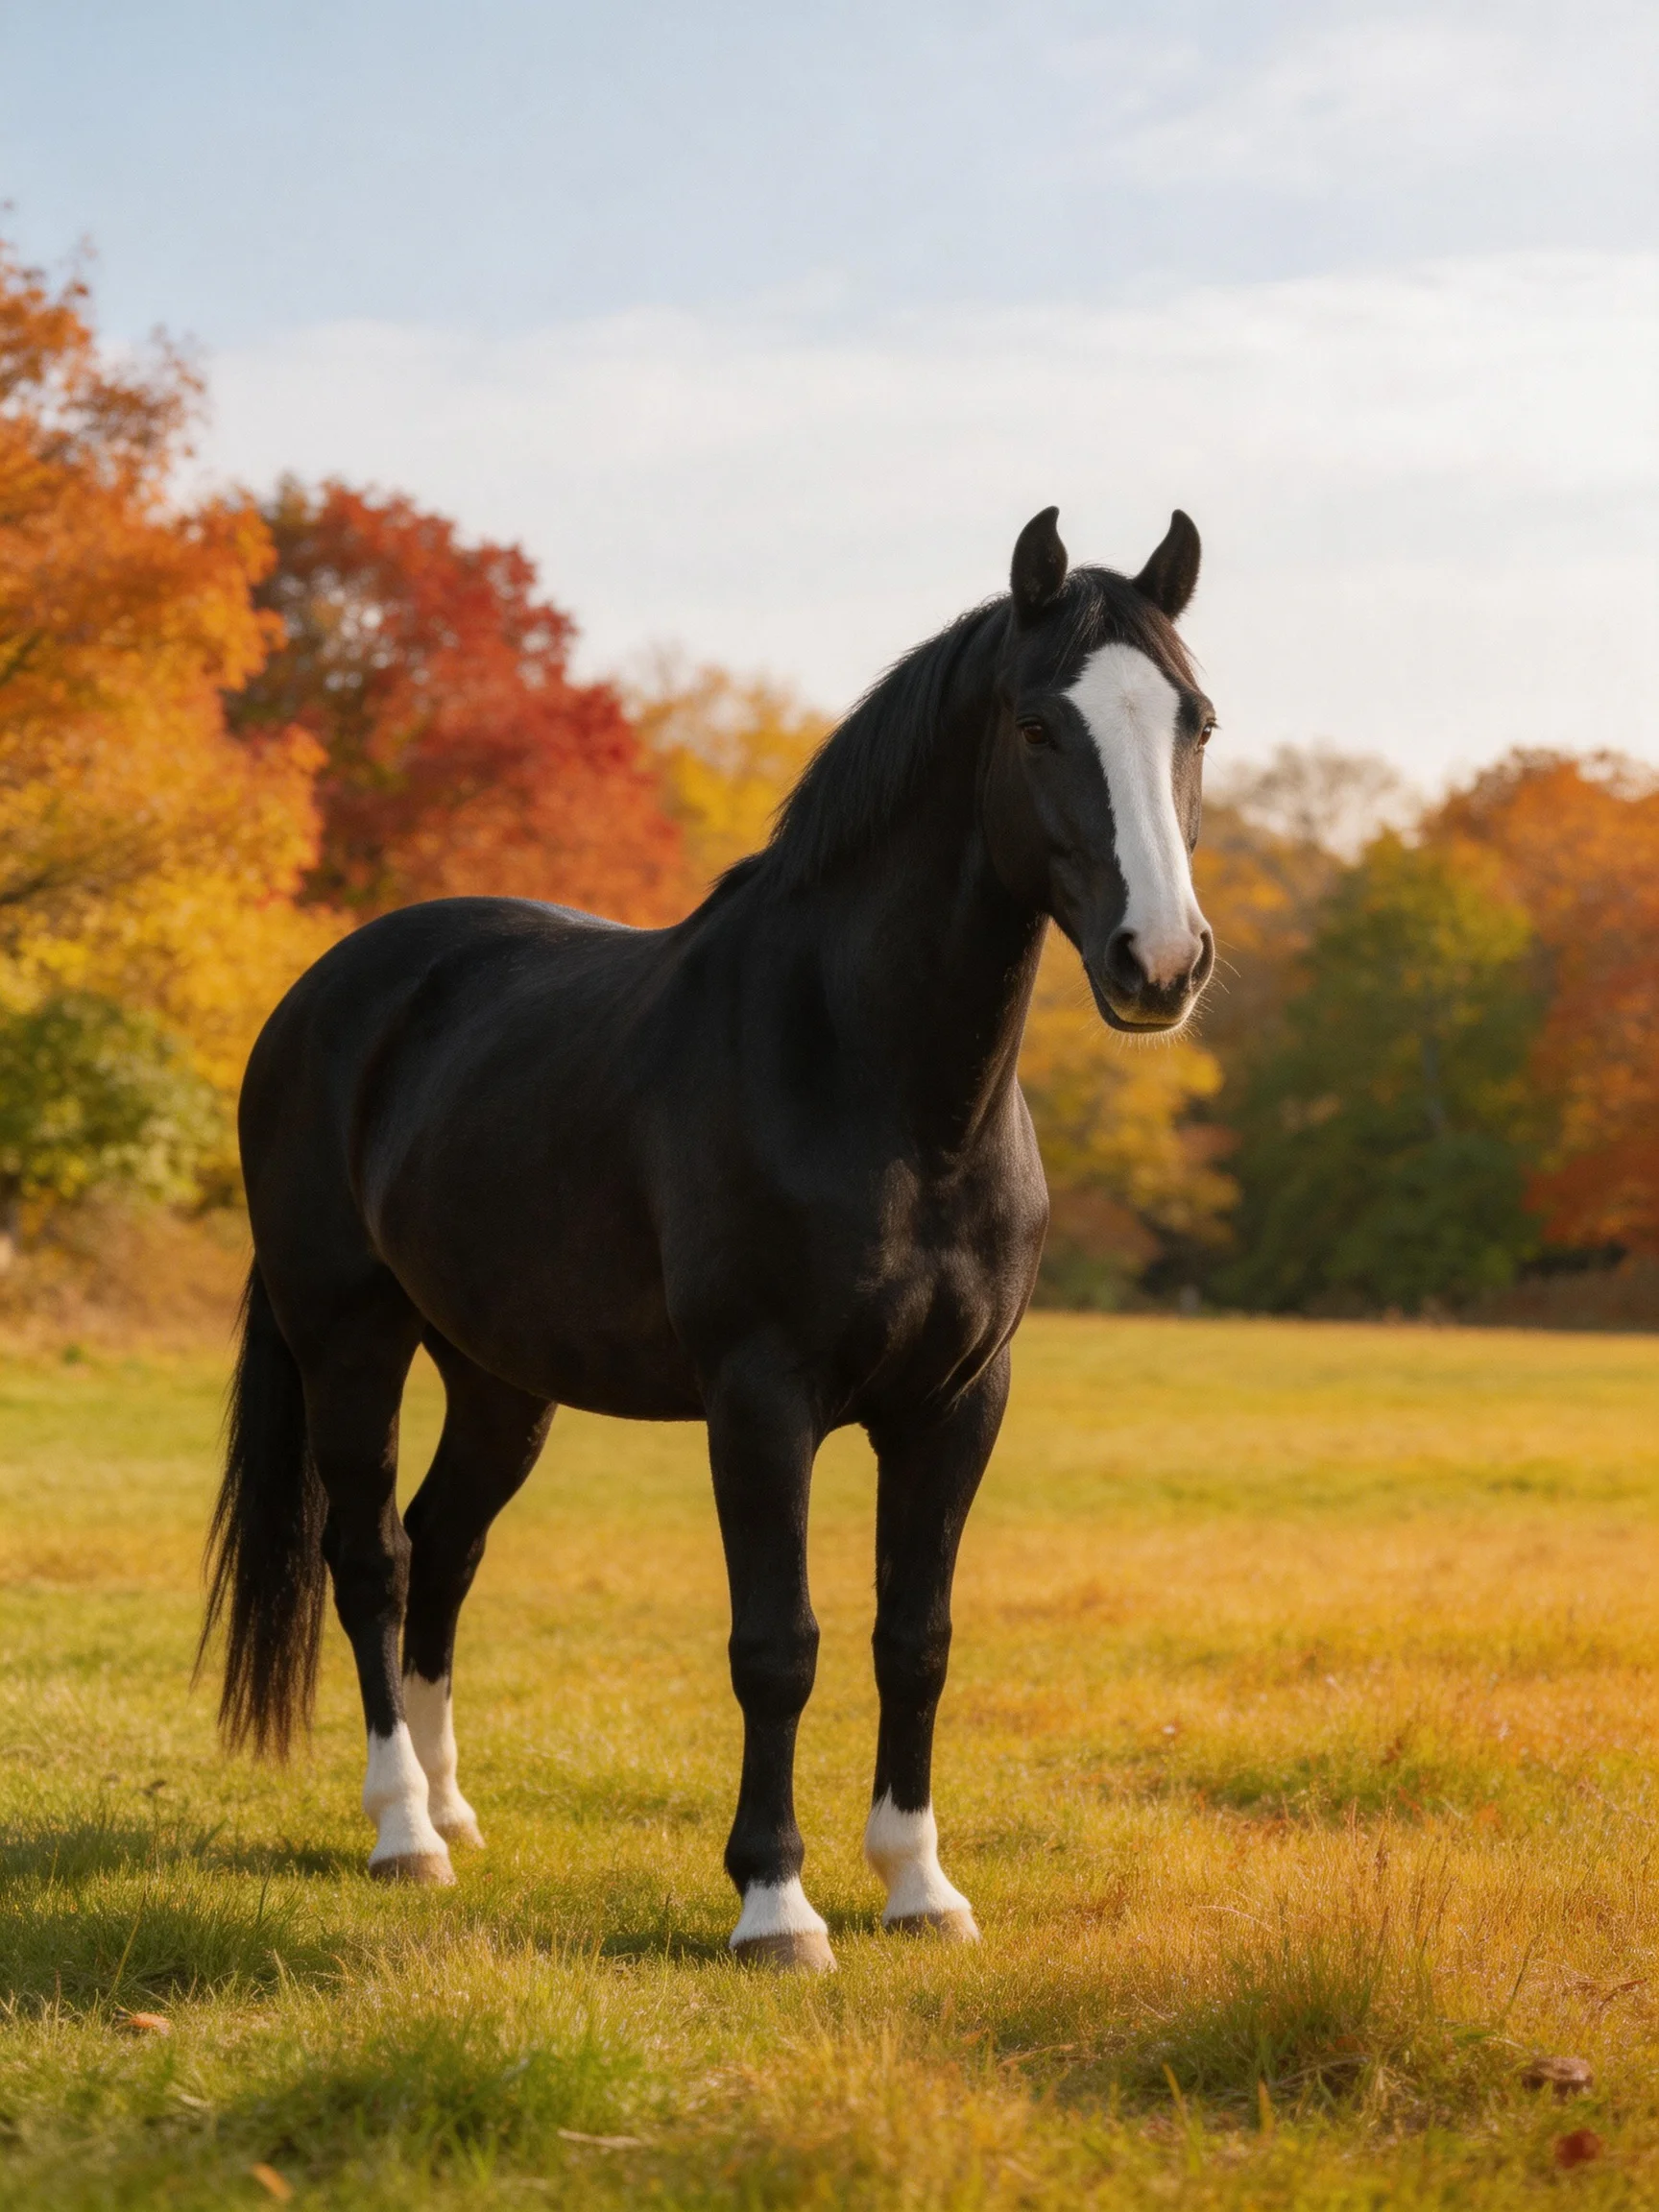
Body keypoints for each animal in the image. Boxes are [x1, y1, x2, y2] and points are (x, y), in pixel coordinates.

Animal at [201, 505, 1216, 1971]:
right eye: (1037, 725)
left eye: (1195, 720)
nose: (1161, 963)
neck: (877, 1084)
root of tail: (326, 993)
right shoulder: (761, 1399)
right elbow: (777, 1644)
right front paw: (775, 1905)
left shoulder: (959, 1404)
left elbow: (916, 1637)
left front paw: (920, 1885)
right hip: (349, 1342)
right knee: (374, 1560)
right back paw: (401, 1833)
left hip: (498, 1378)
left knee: (446, 1549)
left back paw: (452, 1812)